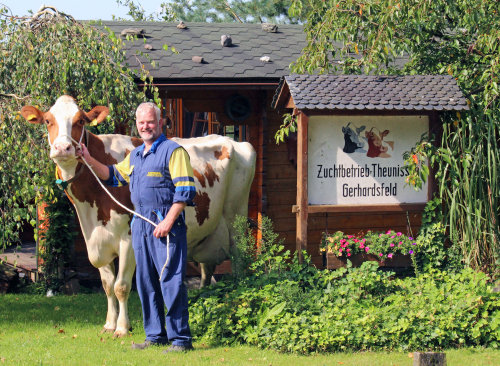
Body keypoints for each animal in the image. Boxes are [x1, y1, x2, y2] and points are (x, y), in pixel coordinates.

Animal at [21, 96, 256, 338]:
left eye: (80, 121)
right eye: (48, 121)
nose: (62, 148)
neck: (90, 210)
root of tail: (237, 142)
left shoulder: (128, 240)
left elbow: (121, 286)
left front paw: (122, 327)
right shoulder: (96, 238)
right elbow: (107, 284)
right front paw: (109, 323)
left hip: (236, 220)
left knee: (240, 261)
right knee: (206, 270)